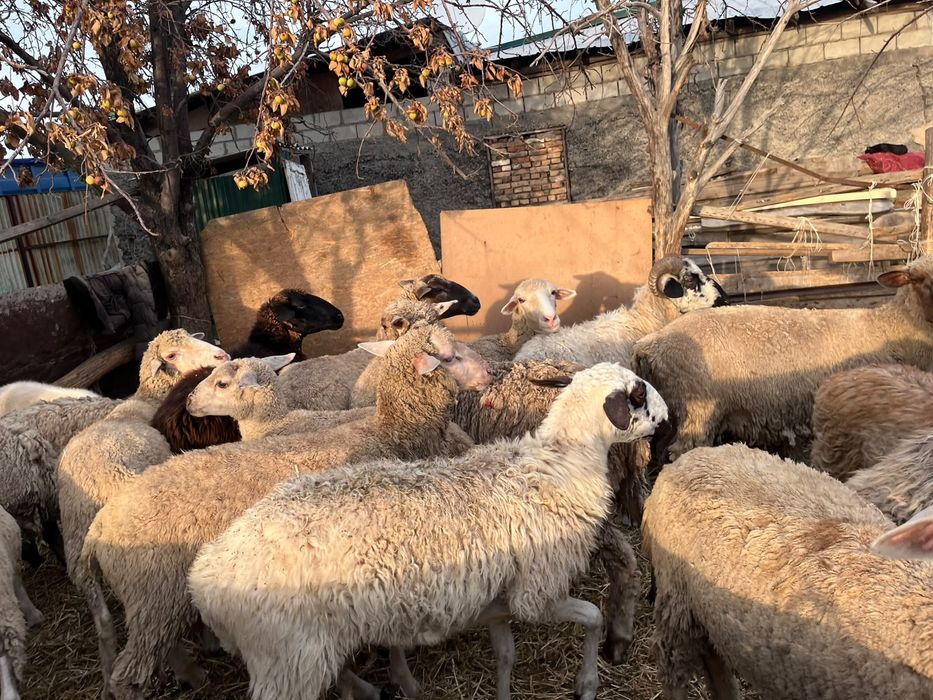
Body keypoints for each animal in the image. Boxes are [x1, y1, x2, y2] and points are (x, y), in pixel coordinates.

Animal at [81, 321, 493, 697]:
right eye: (451, 356)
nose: (490, 372)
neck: (390, 431)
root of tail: (99, 526)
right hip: (154, 595)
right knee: (131, 671)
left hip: (153, 603)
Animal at [187, 363, 670, 700]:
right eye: (638, 394)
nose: (666, 419)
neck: (560, 462)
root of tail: (205, 577)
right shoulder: (537, 594)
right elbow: (592, 617)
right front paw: (587, 683)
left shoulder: (496, 603)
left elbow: (506, 657)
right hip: (285, 658)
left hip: (304, 649)